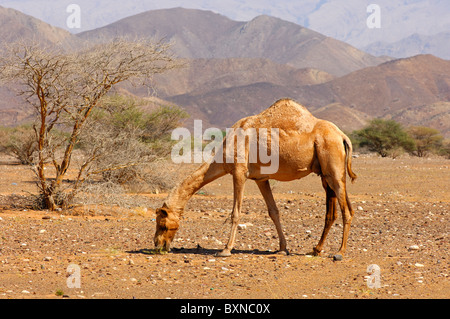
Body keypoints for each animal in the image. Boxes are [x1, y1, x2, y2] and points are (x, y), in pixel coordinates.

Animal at [153, 99, 356, 260]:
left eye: (162, 224)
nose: (157, 245)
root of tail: (342, 136)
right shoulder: (260, 178)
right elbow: (274, 211)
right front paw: (282, 249)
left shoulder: (239, 172)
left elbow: (235, 213)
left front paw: (225, 249)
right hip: (325, 174)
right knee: (331, 213)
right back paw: (316, 249)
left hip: (334, 169)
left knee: (347, 210)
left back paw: (340, 252)